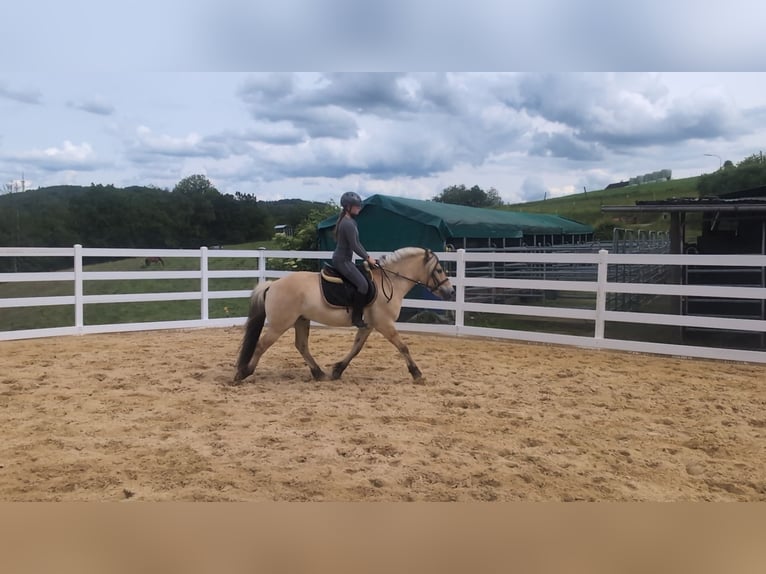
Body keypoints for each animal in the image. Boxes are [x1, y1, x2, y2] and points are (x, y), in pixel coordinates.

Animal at [234, 247, 455, 383]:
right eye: (439, 269)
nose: (450, 292)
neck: (390, 281)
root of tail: (272, 285)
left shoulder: (369, 325)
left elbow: (356, 348)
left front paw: (338, 369)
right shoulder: (385, 324)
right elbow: (403, 347)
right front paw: (417, 374)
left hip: (301, 320)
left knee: (301, 346)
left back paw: (319, 373)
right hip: (280, 324)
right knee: (262, 345)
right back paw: (243, 373)